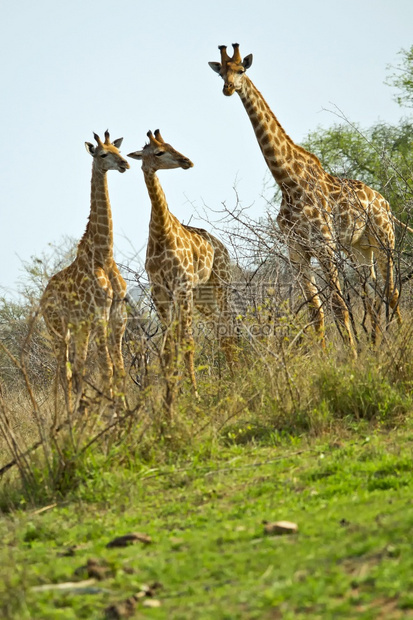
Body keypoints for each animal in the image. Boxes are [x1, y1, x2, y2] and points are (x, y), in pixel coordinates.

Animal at [41, 130, 129, 406]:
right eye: (103, 154)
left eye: (119, 150)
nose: (125, 164)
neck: (103, 254)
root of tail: (42, 298)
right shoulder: (100, 313)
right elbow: (106, 368)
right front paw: (115, 413)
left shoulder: (117, 314)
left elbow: (119, 368)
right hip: (58, 329)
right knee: (63, 372)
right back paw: (65, 414)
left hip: (80, 328)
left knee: (76, 369)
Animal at [126, 130, 235, 398]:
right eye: (158, 152)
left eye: (171, 145)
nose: (187, 161)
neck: (160, 232)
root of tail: (222, 247)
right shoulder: (160, 291)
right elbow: (169, 345)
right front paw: (172, 393)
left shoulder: (182, 286)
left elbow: (186, 340)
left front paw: (194, 394)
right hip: (203, 296)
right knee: (220, 329)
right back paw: (235, 376)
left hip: (221, 285)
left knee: (228, 329)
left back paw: (240, 375)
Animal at [209, 43, 406, 352]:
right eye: (221, 73)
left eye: (241, 70)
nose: (228, 88)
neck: (288, 182)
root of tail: (385, 202)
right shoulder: (297, 250)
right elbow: (316, 309)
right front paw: (326, 355)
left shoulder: (324, 245)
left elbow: (338, 304)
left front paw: (351, 356)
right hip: (359, 248)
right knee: (372, 292)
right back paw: (377, 344)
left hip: (385, 239)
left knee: (391, 290)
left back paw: (398, 341)